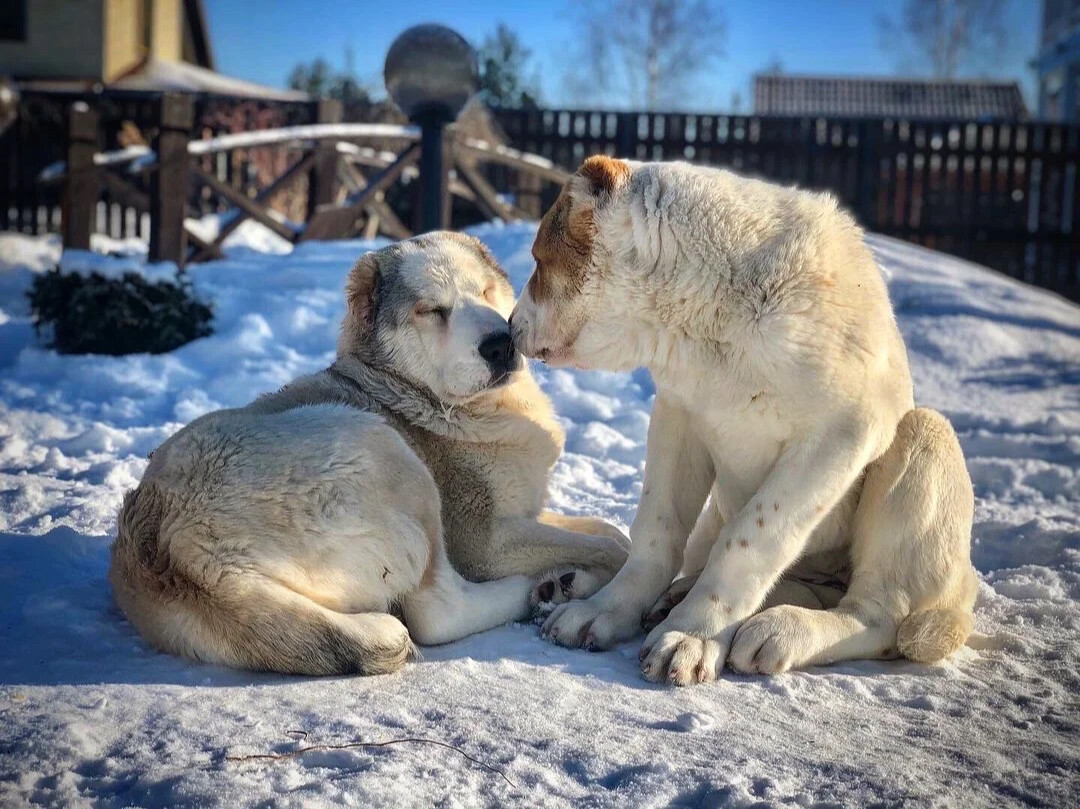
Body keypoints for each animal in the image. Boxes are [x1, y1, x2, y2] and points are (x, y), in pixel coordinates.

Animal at [108, 228, 626, 673]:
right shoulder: (486, 542)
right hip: (388, 452)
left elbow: (606, 530)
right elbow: (611, 546)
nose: (500, 345)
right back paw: (540, 588)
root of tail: (174, 547)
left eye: (484, 292)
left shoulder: (525, 514)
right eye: (431, 311)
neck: (413, 394)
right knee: (437, 613)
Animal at [509, 156, 976, 682]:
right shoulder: (678, 414)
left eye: (539, 261)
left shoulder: (839, 437)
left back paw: (782, 630)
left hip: (923, 438)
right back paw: (604, 588)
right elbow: (656, 530)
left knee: (877, 613)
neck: (715, 319)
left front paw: (693, 633)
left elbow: (751, 540)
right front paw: (609, 608)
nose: (509, 326)